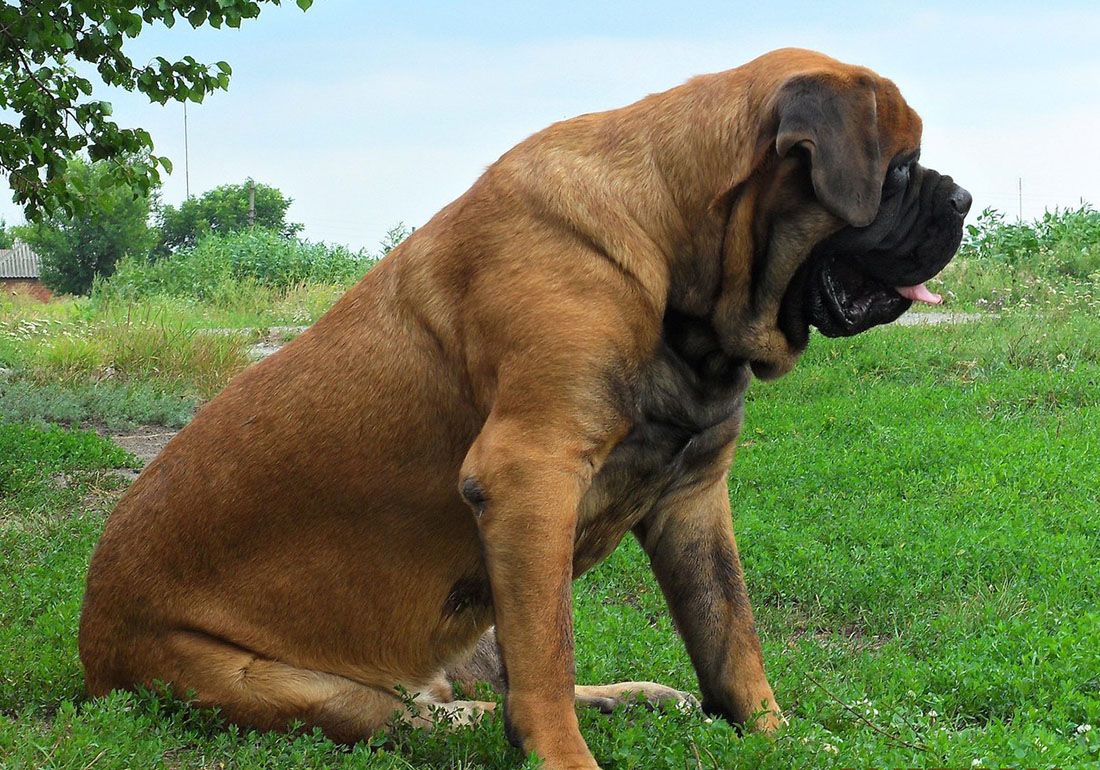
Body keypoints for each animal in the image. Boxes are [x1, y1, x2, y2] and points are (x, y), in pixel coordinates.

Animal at [77, 49, 972, 770]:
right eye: (899, 171)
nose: (962, 197)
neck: (677, 250)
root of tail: (91, 648)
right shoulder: (532, 475)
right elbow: (550, 653)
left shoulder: (693, 497)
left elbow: (730, 636)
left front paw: (781, 735)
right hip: (289, 684)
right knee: (424, 714)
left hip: (472, 621)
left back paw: (639, 696)